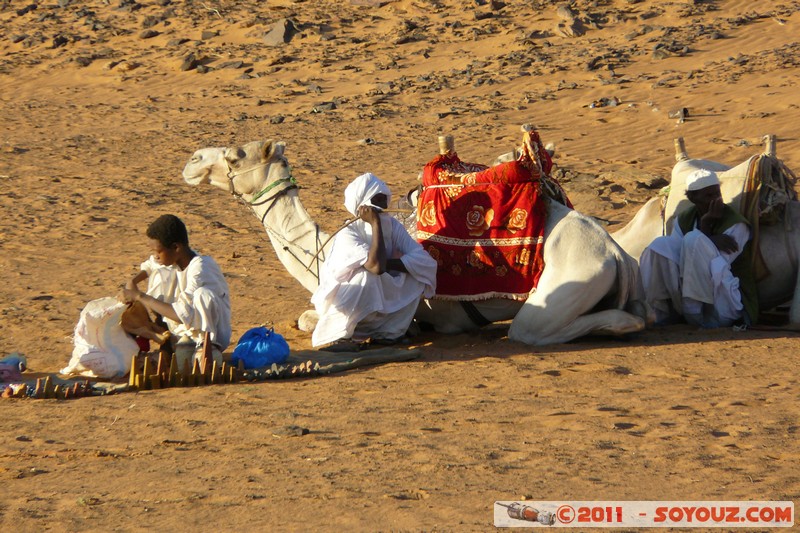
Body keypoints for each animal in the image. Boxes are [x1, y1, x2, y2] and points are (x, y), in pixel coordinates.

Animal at [182, 138, 651, 345]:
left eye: (235, 156)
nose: (192, 160)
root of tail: (614, 252)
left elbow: (309, 320)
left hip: (564, 287)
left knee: (533, 331)